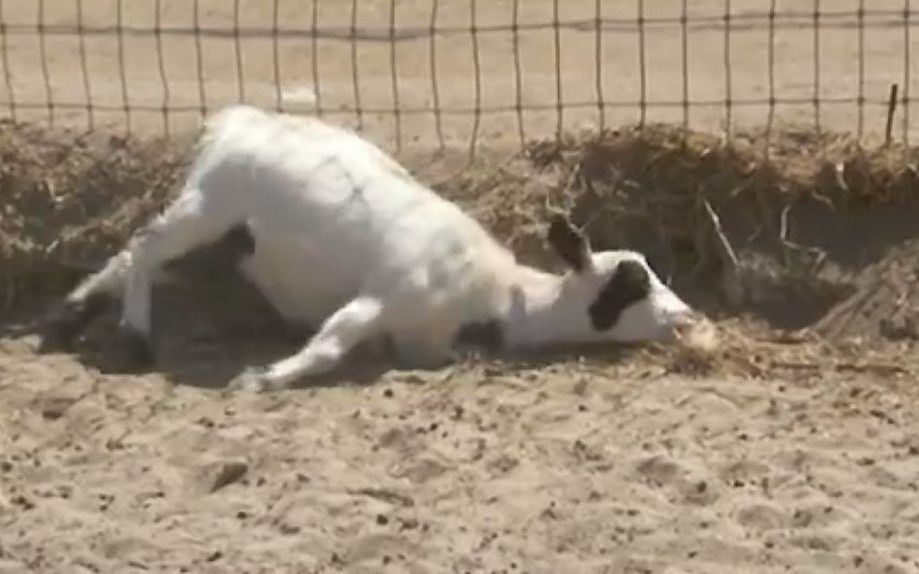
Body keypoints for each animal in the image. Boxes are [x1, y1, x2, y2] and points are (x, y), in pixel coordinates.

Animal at [34, 104, 696, 392]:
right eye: (631, 283)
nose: (687, 318)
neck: (497, 293)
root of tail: (241, 118)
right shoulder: (383, 297)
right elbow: (330, 342)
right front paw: (265, 376)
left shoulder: (421, 341)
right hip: (208, 207)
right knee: (145, 248)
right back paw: (133, 337)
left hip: (210, 219)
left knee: (131, 254)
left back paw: (66, 321)